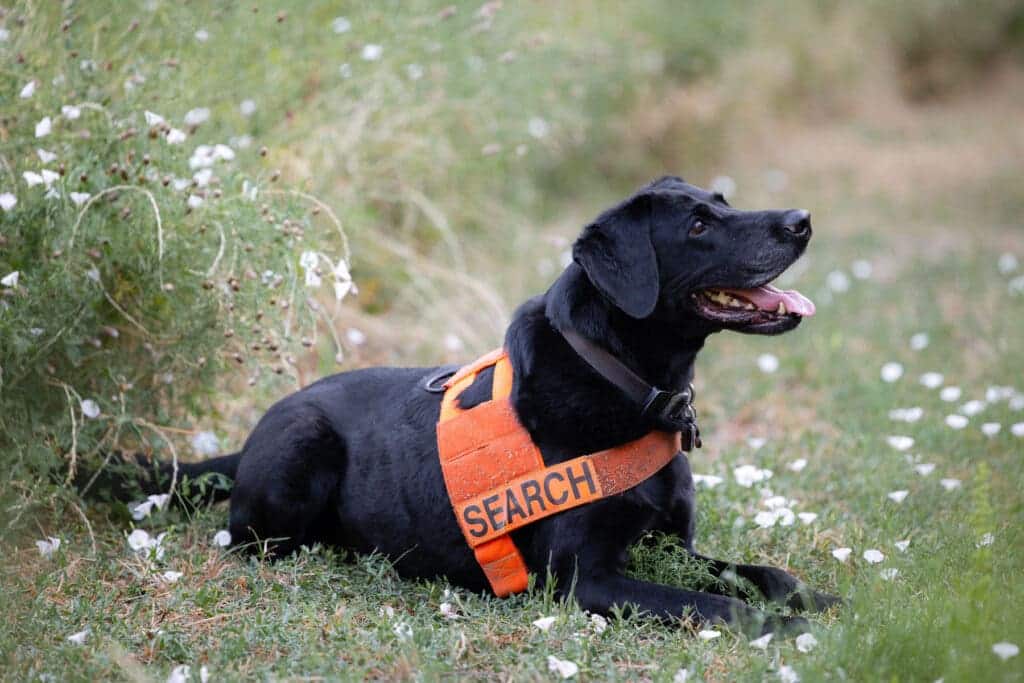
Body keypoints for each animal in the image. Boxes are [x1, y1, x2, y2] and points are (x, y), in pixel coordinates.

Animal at [125, 176, 839, 634]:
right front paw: (796, 631)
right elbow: (726, 606)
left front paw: (832, 602)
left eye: (723, 202)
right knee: (246, 539)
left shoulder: (677, 549)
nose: (802, 221)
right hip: (301, 450)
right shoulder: (585, 580)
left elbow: (769, 576)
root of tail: (252, 435)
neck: (628, 383)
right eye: (697, 226)